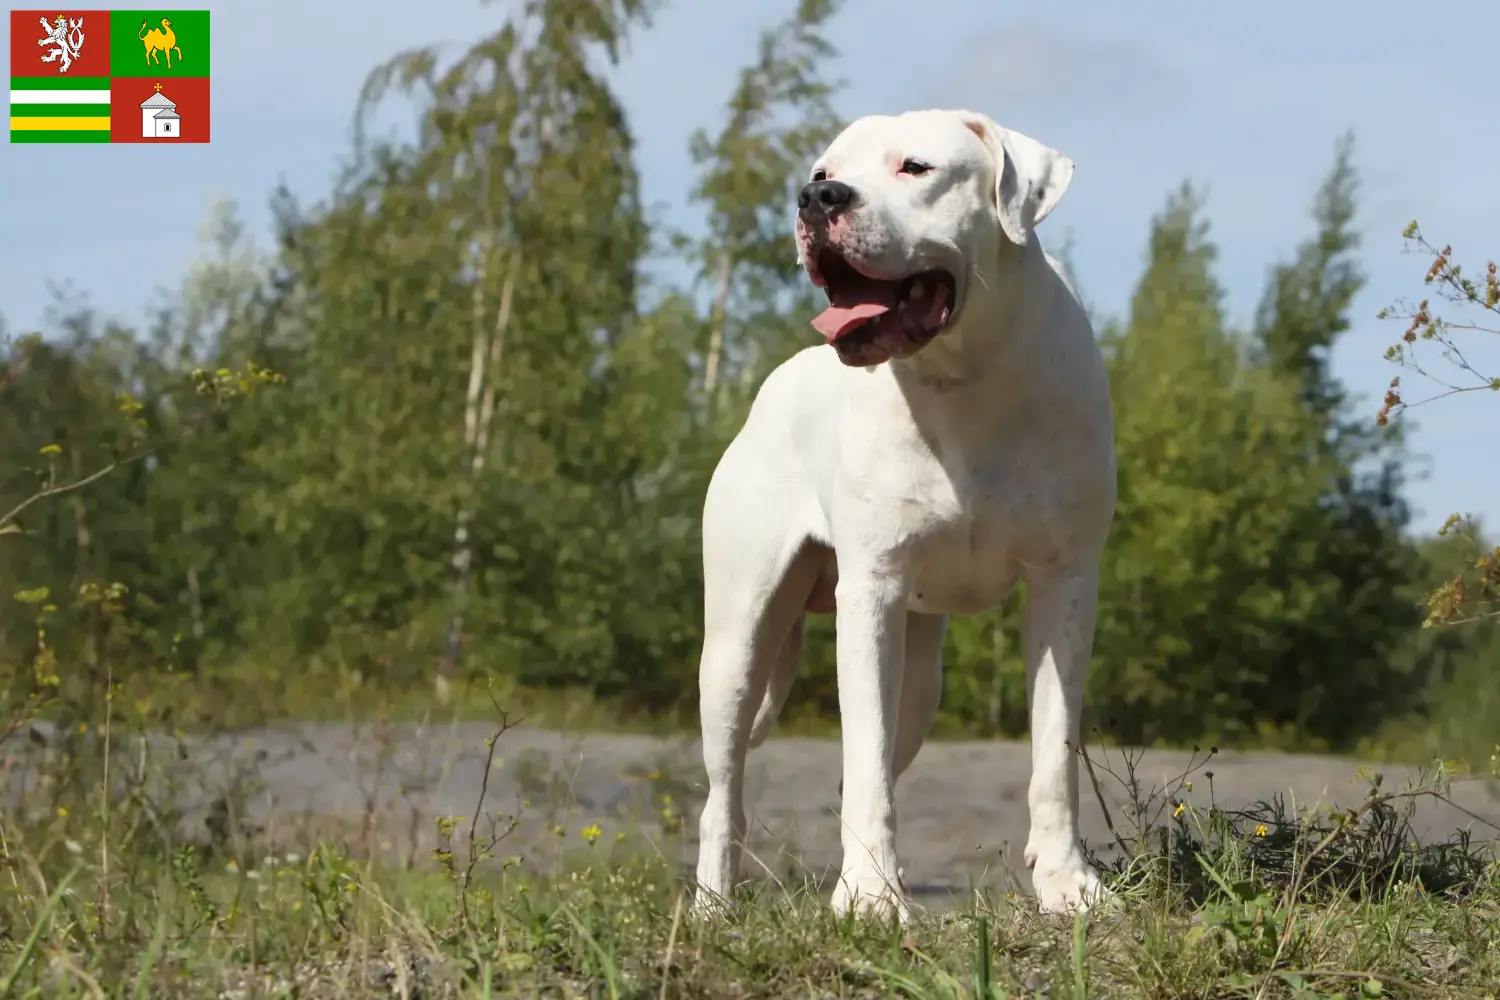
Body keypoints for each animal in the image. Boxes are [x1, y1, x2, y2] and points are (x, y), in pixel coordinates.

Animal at [690, 111, 1116, 923]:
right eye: (823, 170)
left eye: (916, 168)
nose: (818, 197)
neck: (964, 375)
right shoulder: (873, 592)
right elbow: (863, 759)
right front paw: (868, 898)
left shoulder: (1066, 584)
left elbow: (1054, 753)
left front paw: (1066, 883)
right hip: (736, 642)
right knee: (724, 790)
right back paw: (710, 905)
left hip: (920, 682)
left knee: (878, 756)